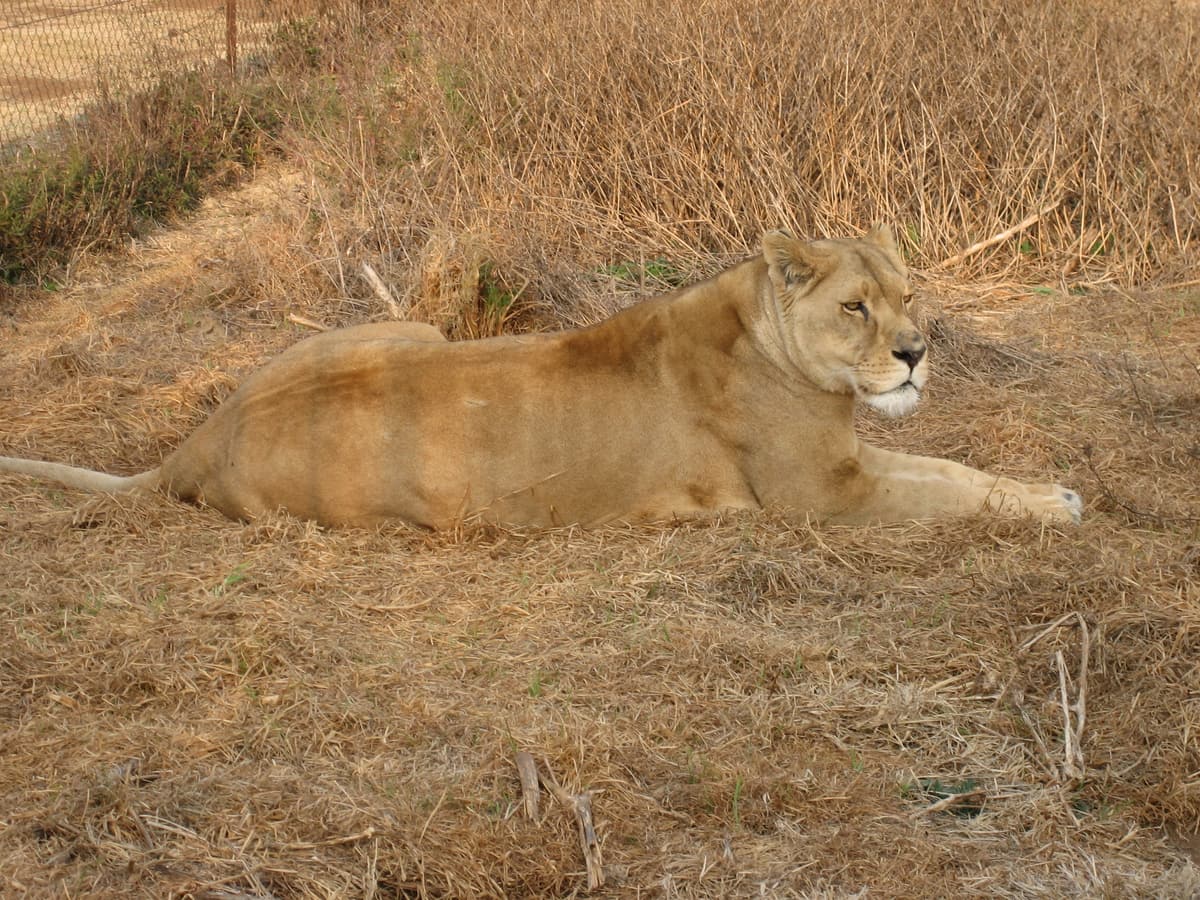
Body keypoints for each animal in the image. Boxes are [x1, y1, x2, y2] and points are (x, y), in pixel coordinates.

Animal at [0, 227, 1082, 528]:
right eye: (857, 307)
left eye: (911, 292)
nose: (918, 349)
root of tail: (197, 439)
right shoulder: (823, 497)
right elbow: (954, 491)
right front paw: (1054, 505)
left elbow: (953, 470)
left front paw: (1052, 490)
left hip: (414, 325)